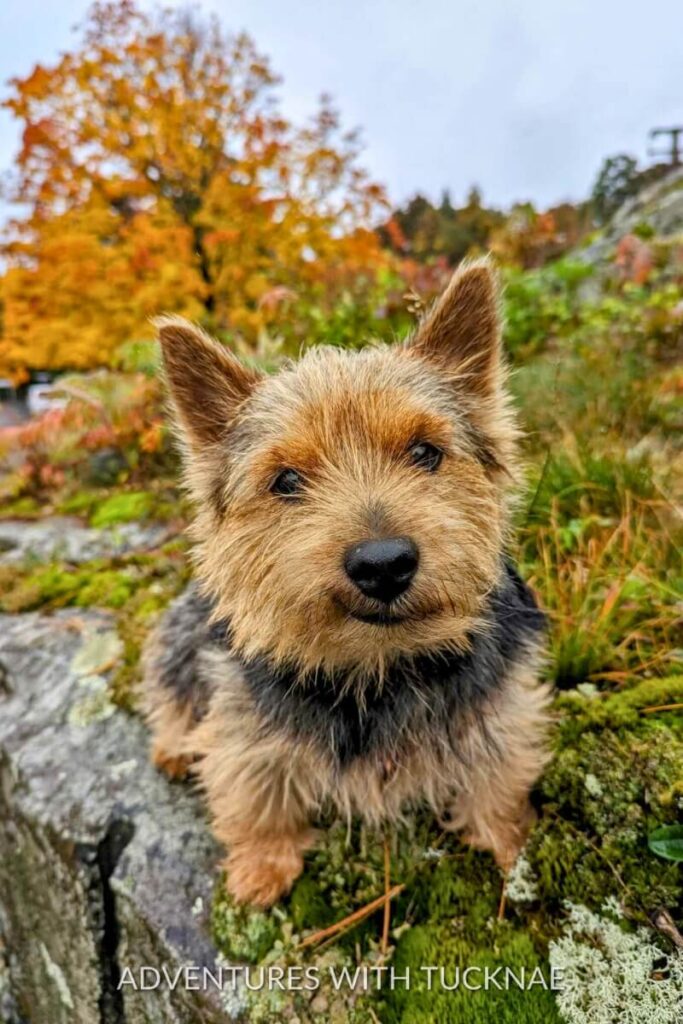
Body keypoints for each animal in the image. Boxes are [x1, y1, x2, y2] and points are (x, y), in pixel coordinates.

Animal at [143, 260, 548, 909]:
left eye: (426, 451)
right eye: (285, 481)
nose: (383, 562)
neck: (376, 667)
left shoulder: (500, 711)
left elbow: (498, 782)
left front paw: (511, 848)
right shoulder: (243, 725)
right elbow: (254, 791)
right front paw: (261, 868)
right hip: (179, 642)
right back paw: (175, 748)